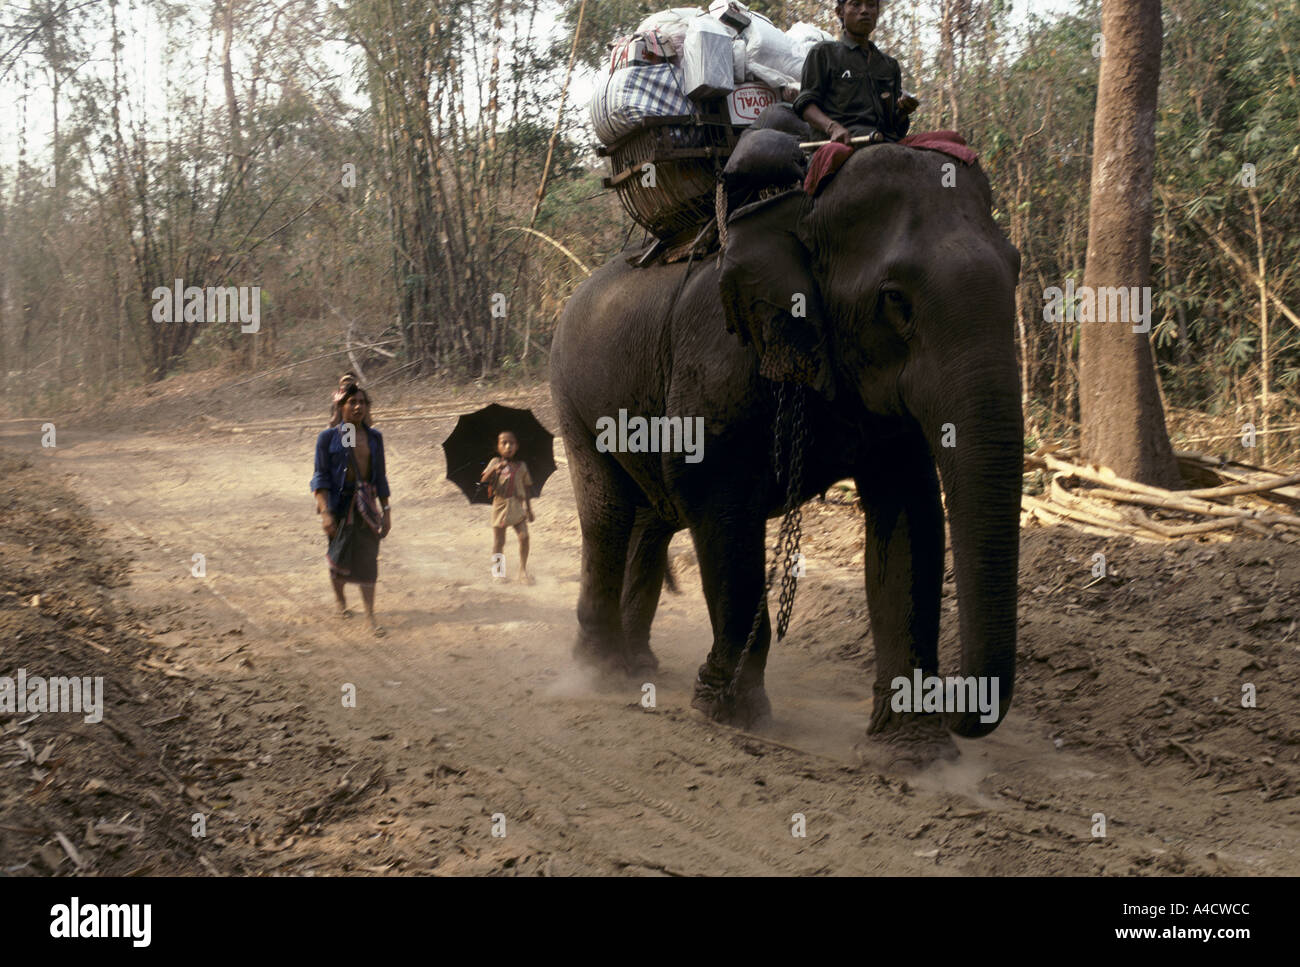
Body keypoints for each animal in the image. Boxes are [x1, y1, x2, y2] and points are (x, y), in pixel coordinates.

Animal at [549, 141, 1022, 766]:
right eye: (895, 300)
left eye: (1017, 271)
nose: (965, 713)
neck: (798, 207)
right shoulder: (718, 353)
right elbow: (709, 489)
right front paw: (730, 714)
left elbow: (911, 512)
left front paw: (916, 755)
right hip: (572, 398)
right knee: (608, 514)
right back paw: (601, 674)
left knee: (651, 520)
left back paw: (638, 666)